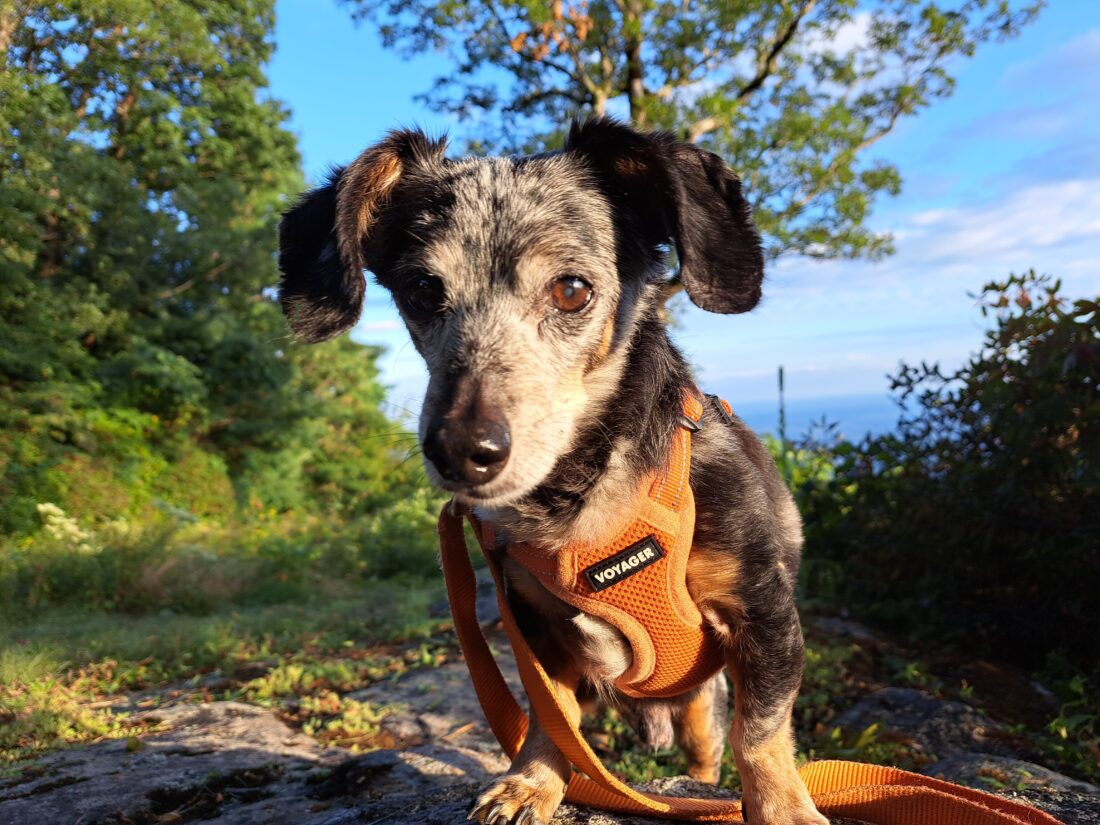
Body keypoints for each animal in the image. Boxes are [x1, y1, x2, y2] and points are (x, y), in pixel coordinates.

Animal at [275, 117, 827, 825]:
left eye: (571, 290)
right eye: (422, 291)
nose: (461, 451)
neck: (581, 498)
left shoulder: (763, 612)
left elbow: (760, 732)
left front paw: (783, 809)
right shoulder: (534, 628)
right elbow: (549, 716)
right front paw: (531, 782)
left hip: (701, 707)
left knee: (708, 748)